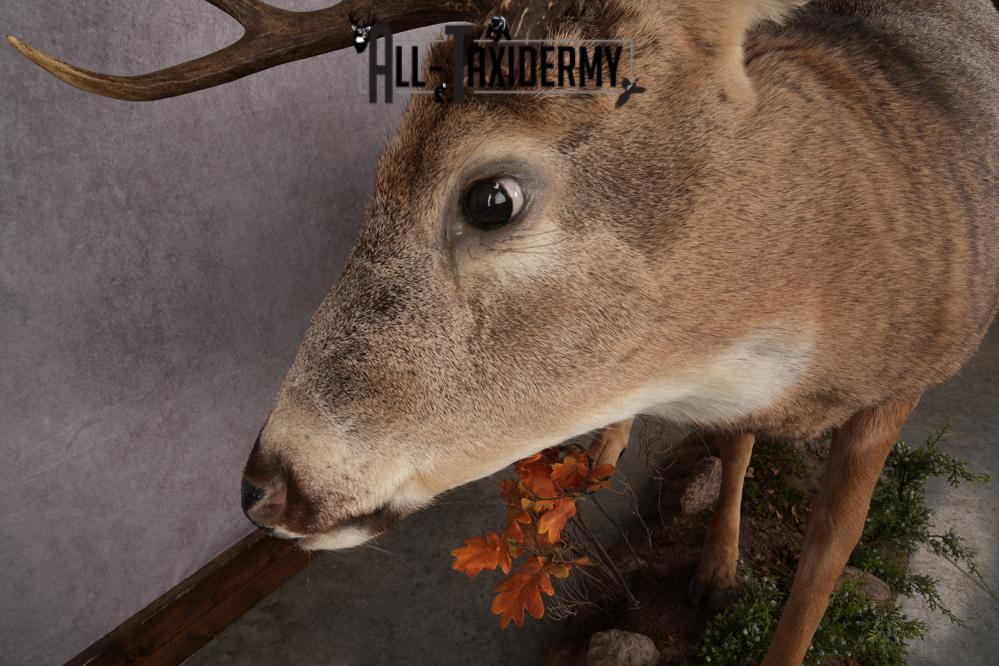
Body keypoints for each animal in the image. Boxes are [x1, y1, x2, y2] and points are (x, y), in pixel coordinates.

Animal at [9, 0, 998, 662]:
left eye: (491, 197)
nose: (264, 487)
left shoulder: (903, 386)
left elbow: (819, 577)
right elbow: (733, 446)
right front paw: (713, 569)